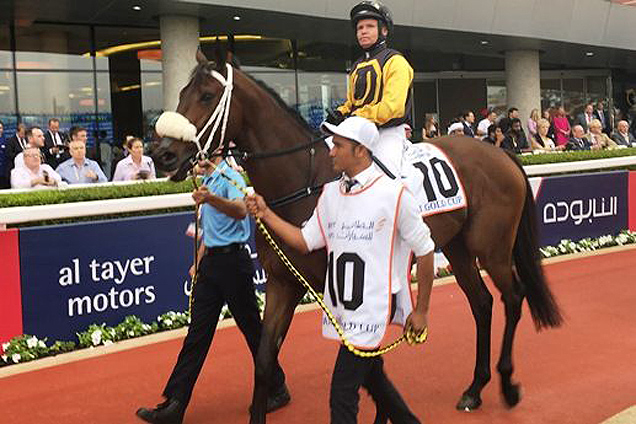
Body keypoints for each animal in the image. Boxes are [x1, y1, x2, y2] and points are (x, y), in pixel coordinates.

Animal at [153, 50, 560, 424]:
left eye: (206, 95)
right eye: (182, 92)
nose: (163, 154)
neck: (304, 180)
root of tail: (503, 155)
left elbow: (364, 361)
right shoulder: (283, 282)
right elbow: (266, 358)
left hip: (492, 248)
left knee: (513, 297)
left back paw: (507, 385)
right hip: (456, 248)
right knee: (482, 303)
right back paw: (474, 388)